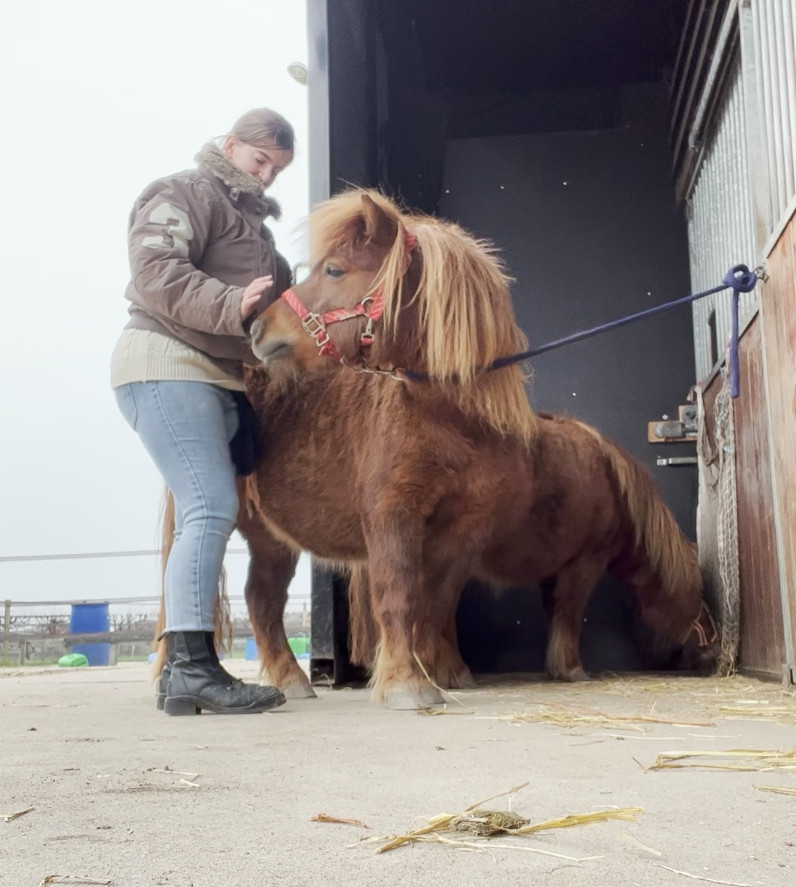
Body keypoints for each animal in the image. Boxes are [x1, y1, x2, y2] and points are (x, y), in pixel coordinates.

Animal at [154, 191, 716, 712]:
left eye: (334, 270)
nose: (256, 328)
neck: (449, 422)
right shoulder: (395, 521)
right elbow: (403, 597)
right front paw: (409, 684)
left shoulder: (460, 536)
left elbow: (436, 604)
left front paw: (441, 673)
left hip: (272, 539)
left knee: (263, 601)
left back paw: (291, 682)